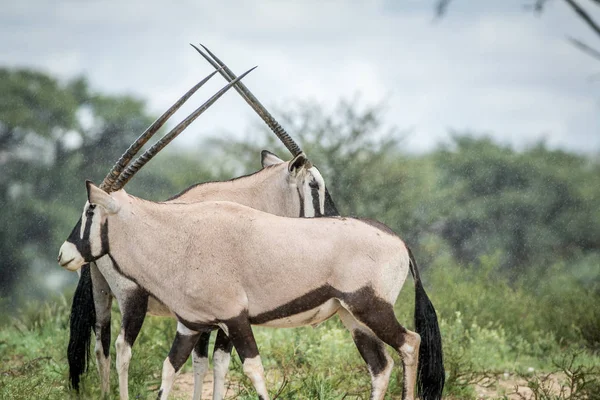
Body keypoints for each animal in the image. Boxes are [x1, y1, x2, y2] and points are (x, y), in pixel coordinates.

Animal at [68, 48, 340, 398]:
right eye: (315, 184)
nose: (333, 219)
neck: (251, 198)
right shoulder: (226, 307)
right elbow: (218, 361)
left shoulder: (201, 313)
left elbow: (199, 360)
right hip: (132, 299)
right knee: (121, 349)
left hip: (102, 295)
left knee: (101, 345)